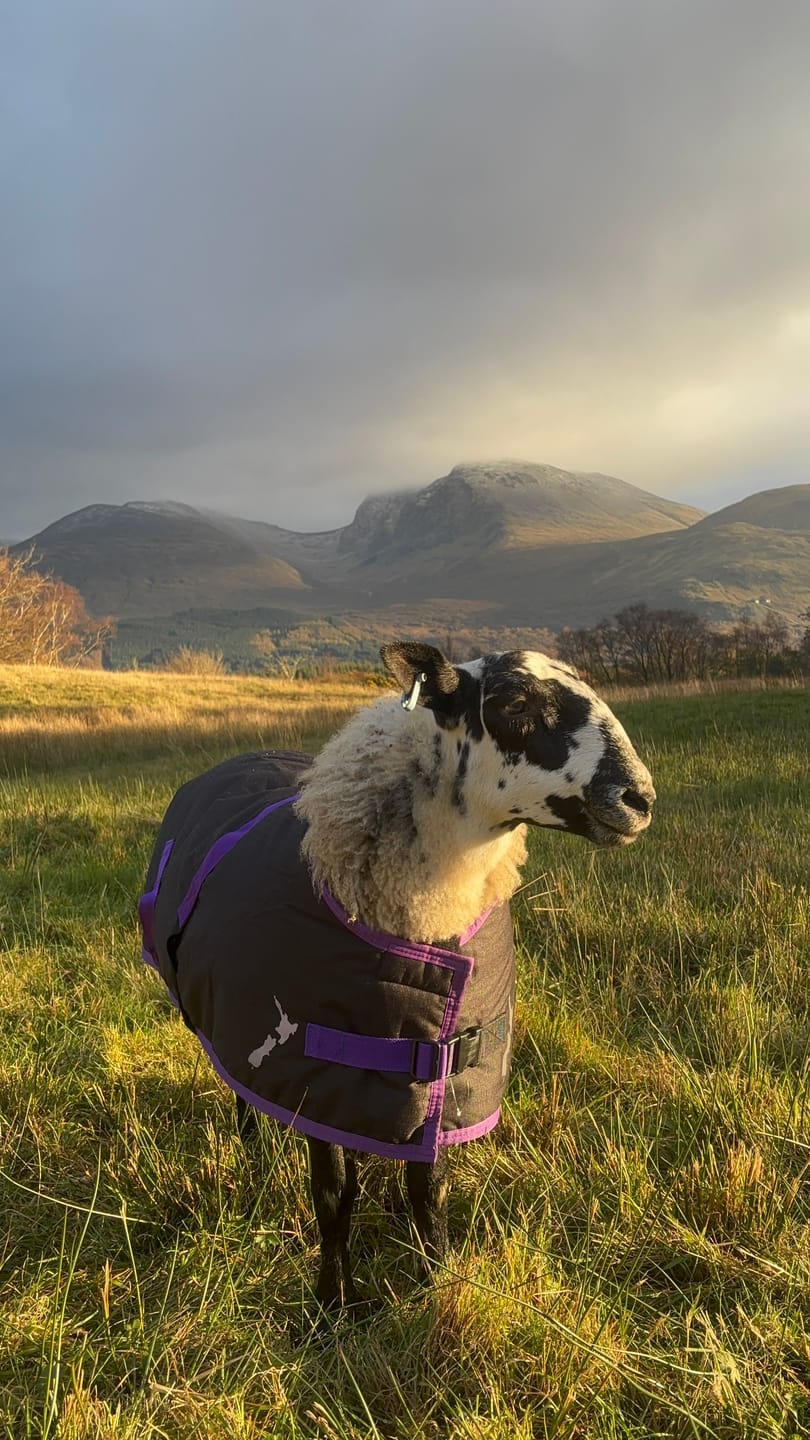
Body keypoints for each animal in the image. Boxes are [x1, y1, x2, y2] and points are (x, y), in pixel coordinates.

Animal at [139, 640, 655, 1312]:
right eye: (516, 704)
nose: (640, 799)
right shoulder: (318, 1067)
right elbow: (334, 1195)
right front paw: (333, 1303)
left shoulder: (437, 1066)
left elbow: (427, 1188)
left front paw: (438, 1281)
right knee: (240, 1091)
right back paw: (251, 1155)